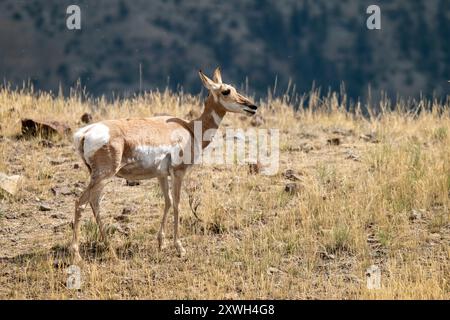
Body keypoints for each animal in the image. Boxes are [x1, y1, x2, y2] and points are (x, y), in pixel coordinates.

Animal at [71, 68, 260, 262]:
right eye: (226, 91)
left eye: (234, 88)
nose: (253, 106)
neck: (190, 129)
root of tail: (84, 133)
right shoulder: (178, 173)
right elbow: (177, 203)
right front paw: (180, 247)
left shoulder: (161, 175)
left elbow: (167, 202)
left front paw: (161, 242)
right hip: (103, 176)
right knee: (80, 203)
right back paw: (77, 254)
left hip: (99, 178)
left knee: (94, 203)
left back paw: (110, 249)